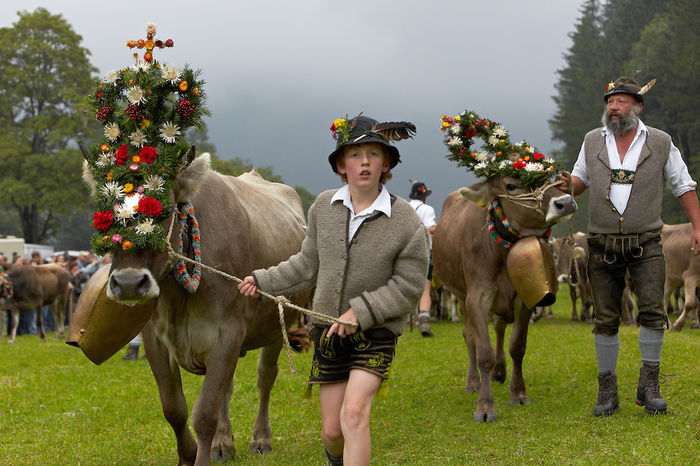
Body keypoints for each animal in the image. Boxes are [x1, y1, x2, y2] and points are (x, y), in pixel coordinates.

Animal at [80, 150, 304, 466]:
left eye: (164, 212)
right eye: (104, 218)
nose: (128, 283)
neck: (178, 300)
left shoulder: (228, 332)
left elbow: (205, 413)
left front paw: (202, 456)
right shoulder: (155, 338)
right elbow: (175, 408)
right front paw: (189, 454)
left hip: (275, 325)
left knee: (265, 377)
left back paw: (260, 439)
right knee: (228, 388)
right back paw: (223, 445)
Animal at [434, 176, 576, 422]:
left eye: (548, 178)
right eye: (511, 185)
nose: (565, 202)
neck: (499, 250)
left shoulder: (525, 297)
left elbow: (517, 346)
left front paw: (518, 394)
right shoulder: (476, 298)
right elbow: (484, 352)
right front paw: (484, 407)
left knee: (499, 327)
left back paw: (500, 370)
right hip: (460, 295)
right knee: (469, 337)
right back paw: (473, 382)